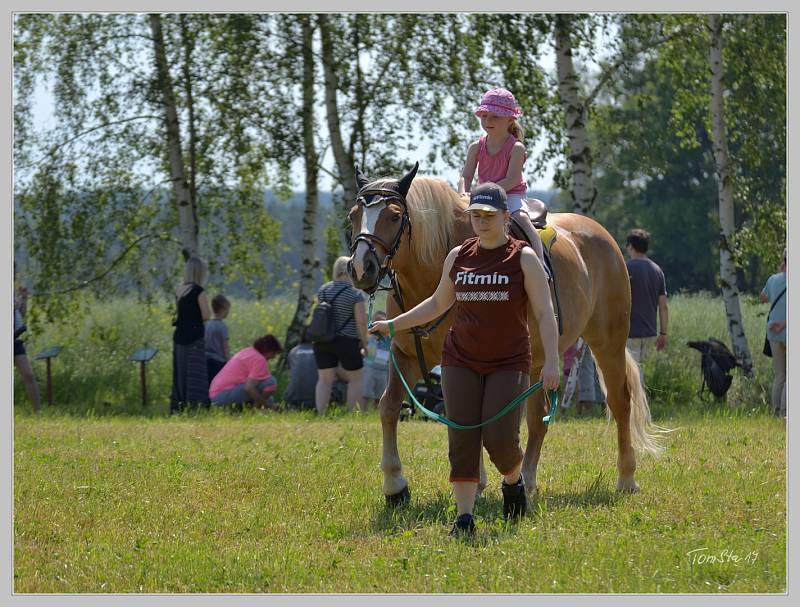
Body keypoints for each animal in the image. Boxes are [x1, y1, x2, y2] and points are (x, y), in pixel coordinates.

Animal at [346, 163, 660, 508]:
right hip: (539, 362)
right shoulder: (407, 357)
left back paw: (626, 477)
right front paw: (395, 484)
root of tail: (602, 237)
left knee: (620, 403)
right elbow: (390, 407)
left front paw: (476, 480)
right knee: (538, 419)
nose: (361, 268)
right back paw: (529, 478)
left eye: (392, 216)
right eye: (352, 215)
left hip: (608, 343)